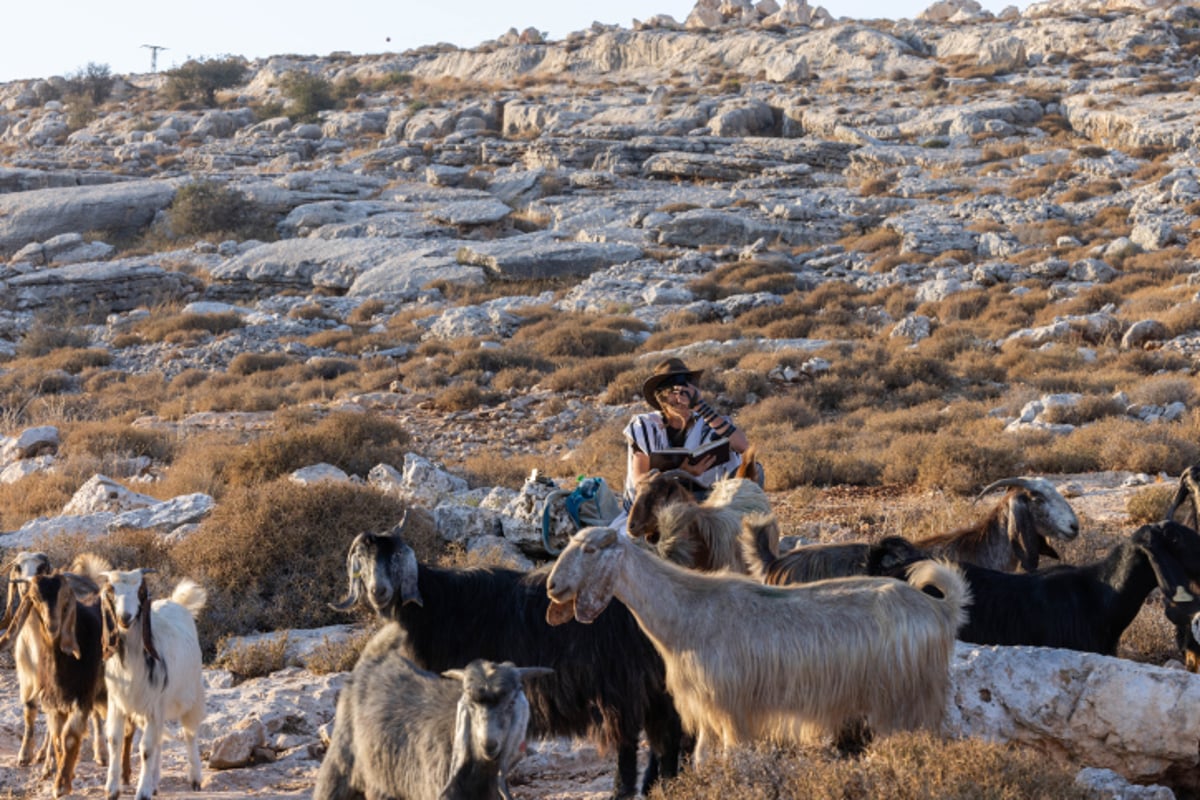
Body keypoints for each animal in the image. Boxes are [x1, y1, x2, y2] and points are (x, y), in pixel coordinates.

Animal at [100, 568, 206, 800]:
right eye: (112, 590)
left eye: (139, 591)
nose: (125, 617)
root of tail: (177, 602)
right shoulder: (118, 704)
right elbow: (115, 741)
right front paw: (112, 789)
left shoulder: (153, 706)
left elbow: (146, 749)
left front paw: (142, 791)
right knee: (159, 739)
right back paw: (156, 781)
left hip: (192, 695)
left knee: (190, 734)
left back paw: (195, 778)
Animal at [333, 515, 686, 796]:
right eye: (361, 560)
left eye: (395, 558)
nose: (379, 591)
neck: (437, 605)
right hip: (654, 685)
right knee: (664, 735)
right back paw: (661, 785)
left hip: (623, 683)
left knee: (636, 739)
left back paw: (633, 789)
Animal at [549, 525, 969, 762]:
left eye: (589, 550)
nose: (554, 586)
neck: (686, 613)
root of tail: (940, 608)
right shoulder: (708, 709)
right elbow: (703, 760)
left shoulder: (733, 709)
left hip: (904, 699)